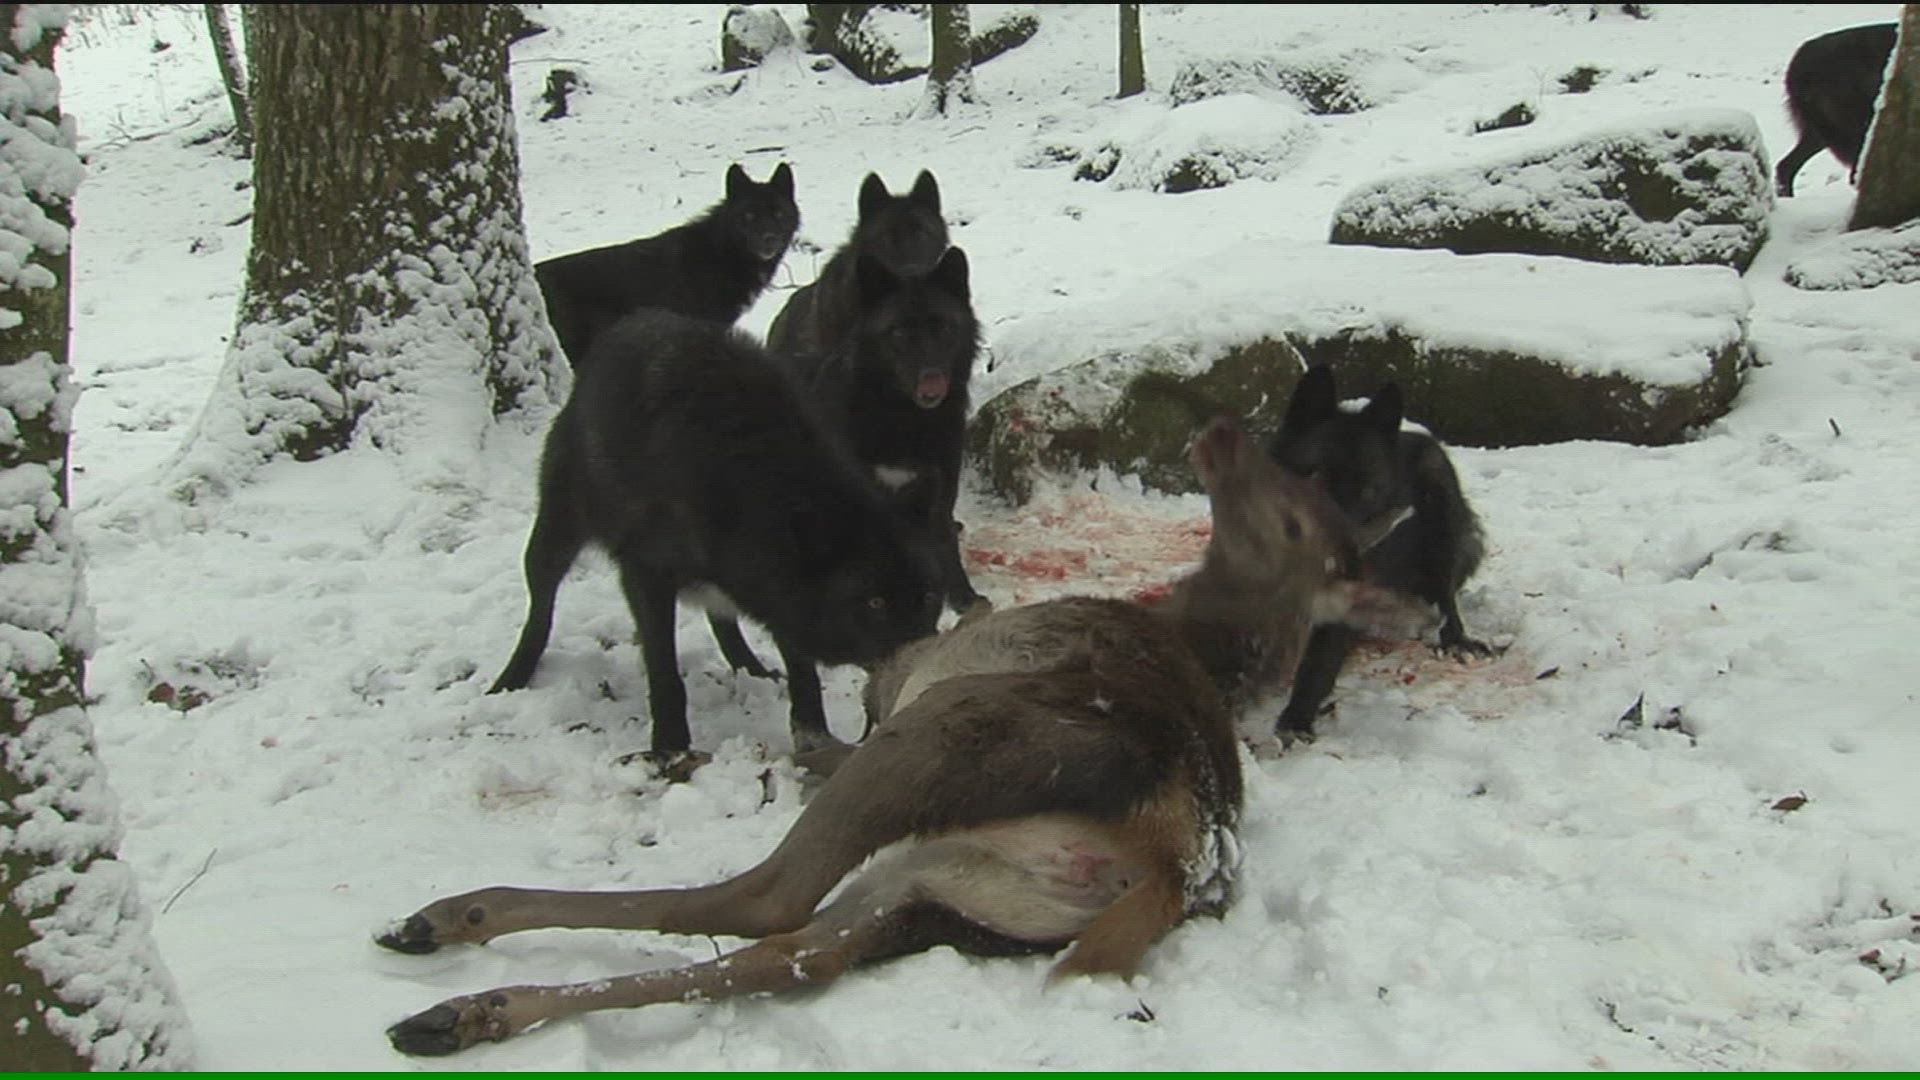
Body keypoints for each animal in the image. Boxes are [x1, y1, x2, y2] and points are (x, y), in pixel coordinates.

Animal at [377, 416, 1437, 1056]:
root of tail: (1171, 860)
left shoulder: (904, 676)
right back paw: (463, 1008)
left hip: (941, 742)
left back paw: (459, 920)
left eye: (1293, 514)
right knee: (795, 953)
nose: (1221, 433)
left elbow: (848, 706)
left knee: (762, 896)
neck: (1191, 627)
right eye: (1299, 485)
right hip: (949, 888)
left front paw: (798, 736)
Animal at [485, 307, 942, 763]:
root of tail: (630, 322)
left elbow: (802, 670)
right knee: (540, 606)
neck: (755, 482)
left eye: (929, 598)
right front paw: (670, 748)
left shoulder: (777, 585)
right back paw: (510, 678)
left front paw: (813, 734)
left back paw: (751, 669)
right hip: (557, 534)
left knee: (721, 615)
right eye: (875, 602)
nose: (925, 661)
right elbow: (665, 673)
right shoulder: (646, 574)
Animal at [1266, 365, 1490, 739]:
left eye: (1368, 492)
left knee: (1444, 595)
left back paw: (1456, 641)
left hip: (1439, 492)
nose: (1340, 557)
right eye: (1317, 478)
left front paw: (1296, 720)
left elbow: (1318, 664)